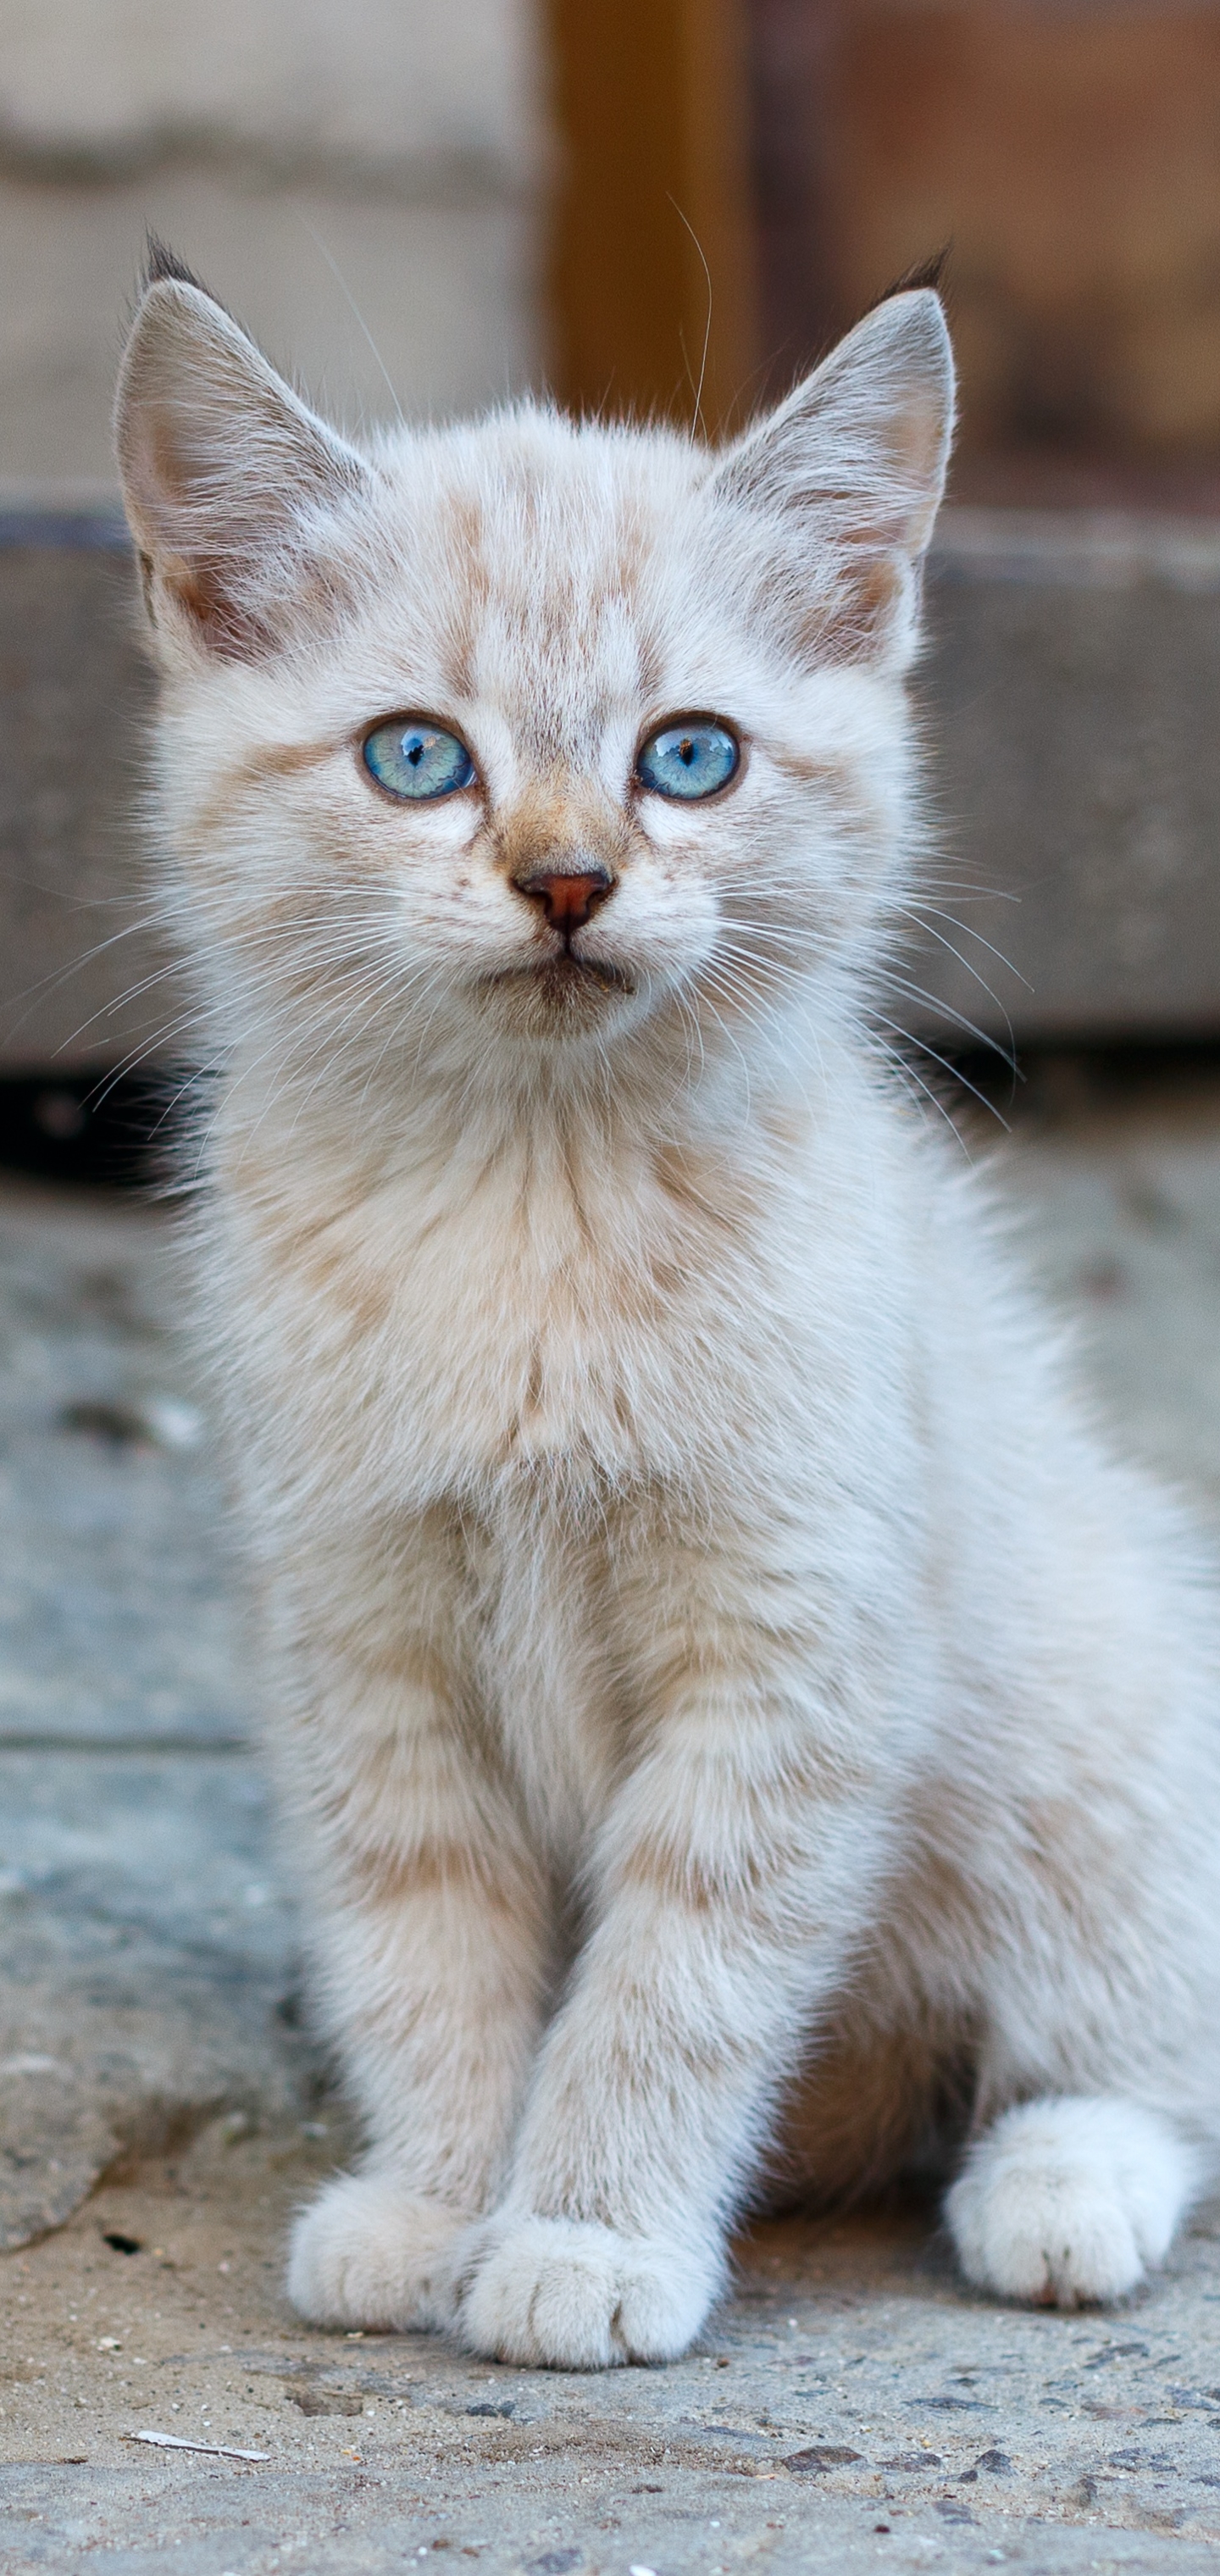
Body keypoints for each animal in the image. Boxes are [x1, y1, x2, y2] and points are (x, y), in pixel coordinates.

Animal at [114, 251, 1220, 2359]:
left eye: (688, 754)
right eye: (417, 754)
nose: (566, 879)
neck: (533, 1204)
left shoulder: (791, 1653)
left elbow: (671, 1981)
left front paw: (585, 2236)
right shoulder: (363, 1649)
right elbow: (426, 1947)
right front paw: (436, 2200)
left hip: (1096, 1731)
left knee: (1134, 2043)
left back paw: (1057, 2191)